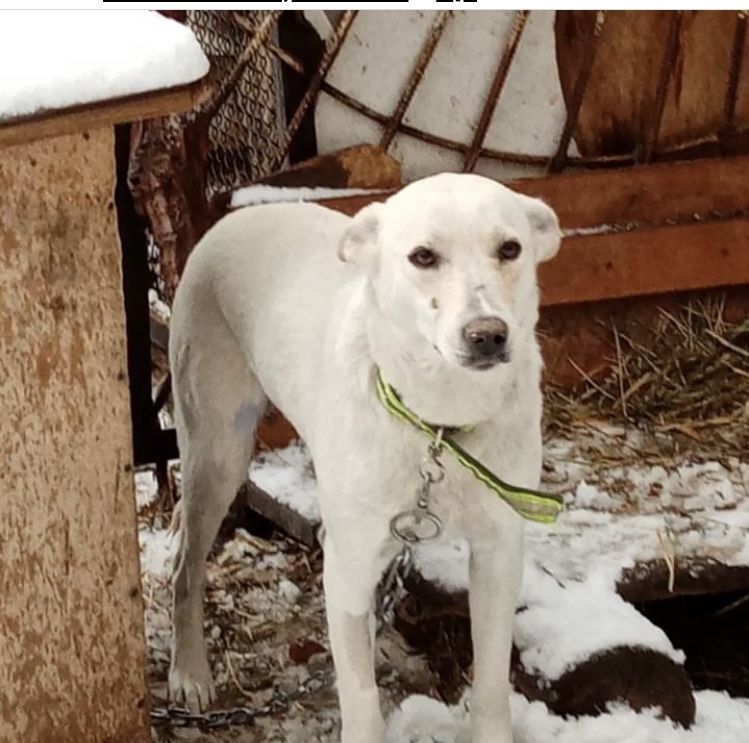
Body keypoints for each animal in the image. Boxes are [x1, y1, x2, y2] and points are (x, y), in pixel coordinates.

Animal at [167, 171, 560, 740]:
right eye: (423, 256)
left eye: (510, 248)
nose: (486, 335)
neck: (440, 423)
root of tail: (238, 213)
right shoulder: (349, 569)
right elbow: (360, 697)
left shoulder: (498, 553)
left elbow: (490, 685)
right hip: (217, 454)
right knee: (186, 568)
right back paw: (189, 672)